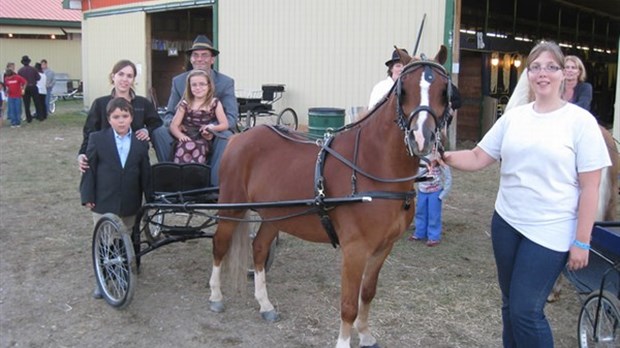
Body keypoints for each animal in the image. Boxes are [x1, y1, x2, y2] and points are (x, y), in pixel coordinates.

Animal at [207, 46, 450, 348]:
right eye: (402, 89)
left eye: (444, 90)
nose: (421, 138)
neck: (372, 164)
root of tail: (238, 138)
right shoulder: (355, 250)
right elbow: (348, 303)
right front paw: (345, 341)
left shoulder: (383, 248)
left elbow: (367, 293)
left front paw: (366, 335)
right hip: (232, 208)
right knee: (219, 245)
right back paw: (215, 296)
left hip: (275, 215)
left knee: (260, 248)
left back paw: (265, 304)